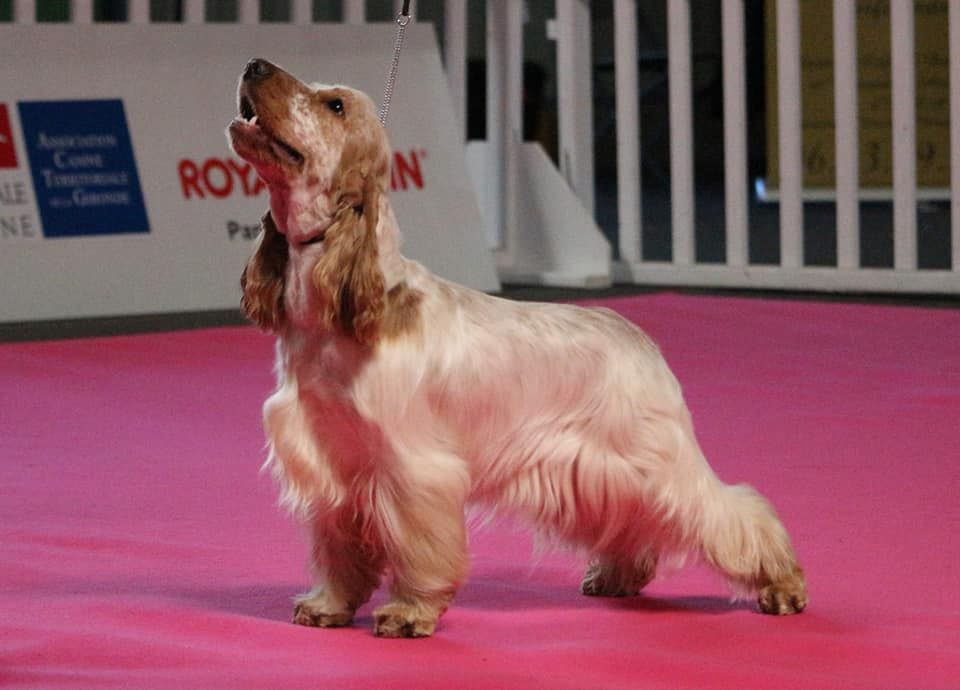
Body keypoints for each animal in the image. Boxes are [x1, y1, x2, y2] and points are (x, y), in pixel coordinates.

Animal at [228, 59, 807, 638]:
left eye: (335, 105)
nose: (254, 65)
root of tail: (638, 336)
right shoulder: (333, 465)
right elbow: (339, 550)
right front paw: (328, 605)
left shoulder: (413, 468)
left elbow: (419, 551)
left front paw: (409, 612)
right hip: (607, 473)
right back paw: (616, 576)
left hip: (658, 463)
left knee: (734, 511)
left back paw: (783, 587)